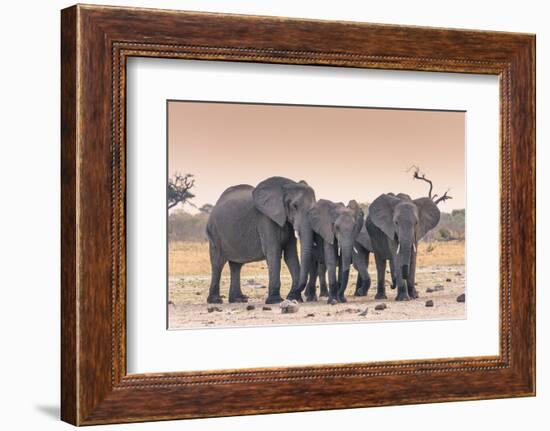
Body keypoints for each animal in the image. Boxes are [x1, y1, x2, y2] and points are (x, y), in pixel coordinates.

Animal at [206, 177, 320, 306]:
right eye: (294, 206)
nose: (292, 296)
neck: (286, 187)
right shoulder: (265, 219)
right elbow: (273, 253)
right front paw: (275, 301)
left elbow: (290, 255)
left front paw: (294, 298)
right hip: (215, 233)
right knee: (217, 263)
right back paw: (215, 301)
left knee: (236, 265)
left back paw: (238, 300)